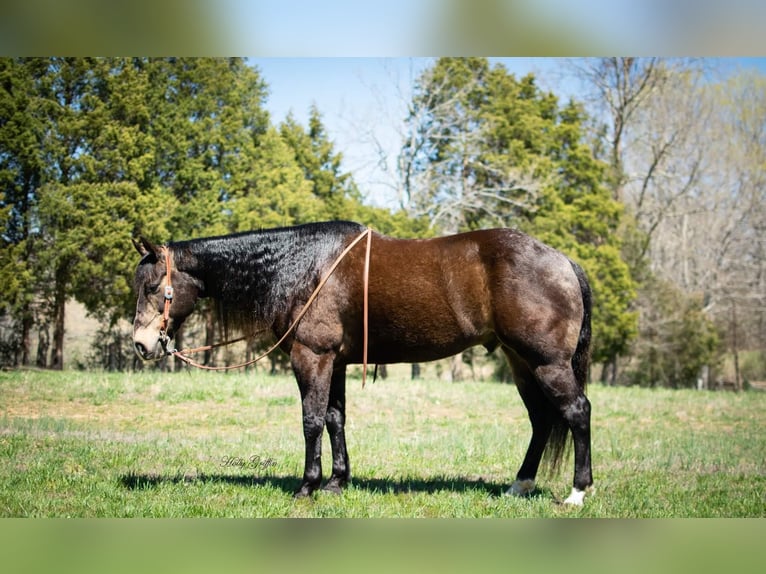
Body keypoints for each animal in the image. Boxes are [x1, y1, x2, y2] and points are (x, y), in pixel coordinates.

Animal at [134, 223, 592, 506]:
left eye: (154, 286)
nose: (141, 344)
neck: (305, 266)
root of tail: (562, 261)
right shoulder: (334, 363)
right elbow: (335, 419)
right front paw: (337, 481)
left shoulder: (311, 357)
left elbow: (312, 421)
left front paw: (307, 486)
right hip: (521, 363)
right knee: (541, 420)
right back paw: (521, 484)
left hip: (547, 363)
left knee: (576, 412)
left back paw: (578, 492)